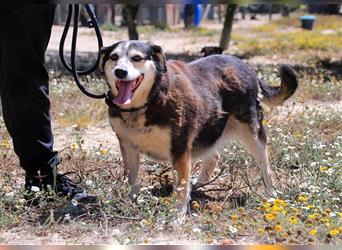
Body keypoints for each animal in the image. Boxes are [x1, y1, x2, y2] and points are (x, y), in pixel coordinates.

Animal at [98, 40, 296, 214]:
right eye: (114, 57)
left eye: (136, 58)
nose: (120, 72)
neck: (148, 101)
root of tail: (246, 66)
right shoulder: (127, 145)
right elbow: (131, 178)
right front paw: (129, 200)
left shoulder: (180, 148)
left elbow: (181, 187)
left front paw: (177, 215)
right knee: (214, 156)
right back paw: (198, 182)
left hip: (253, 134)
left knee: (265, 165)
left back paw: (271, 194)